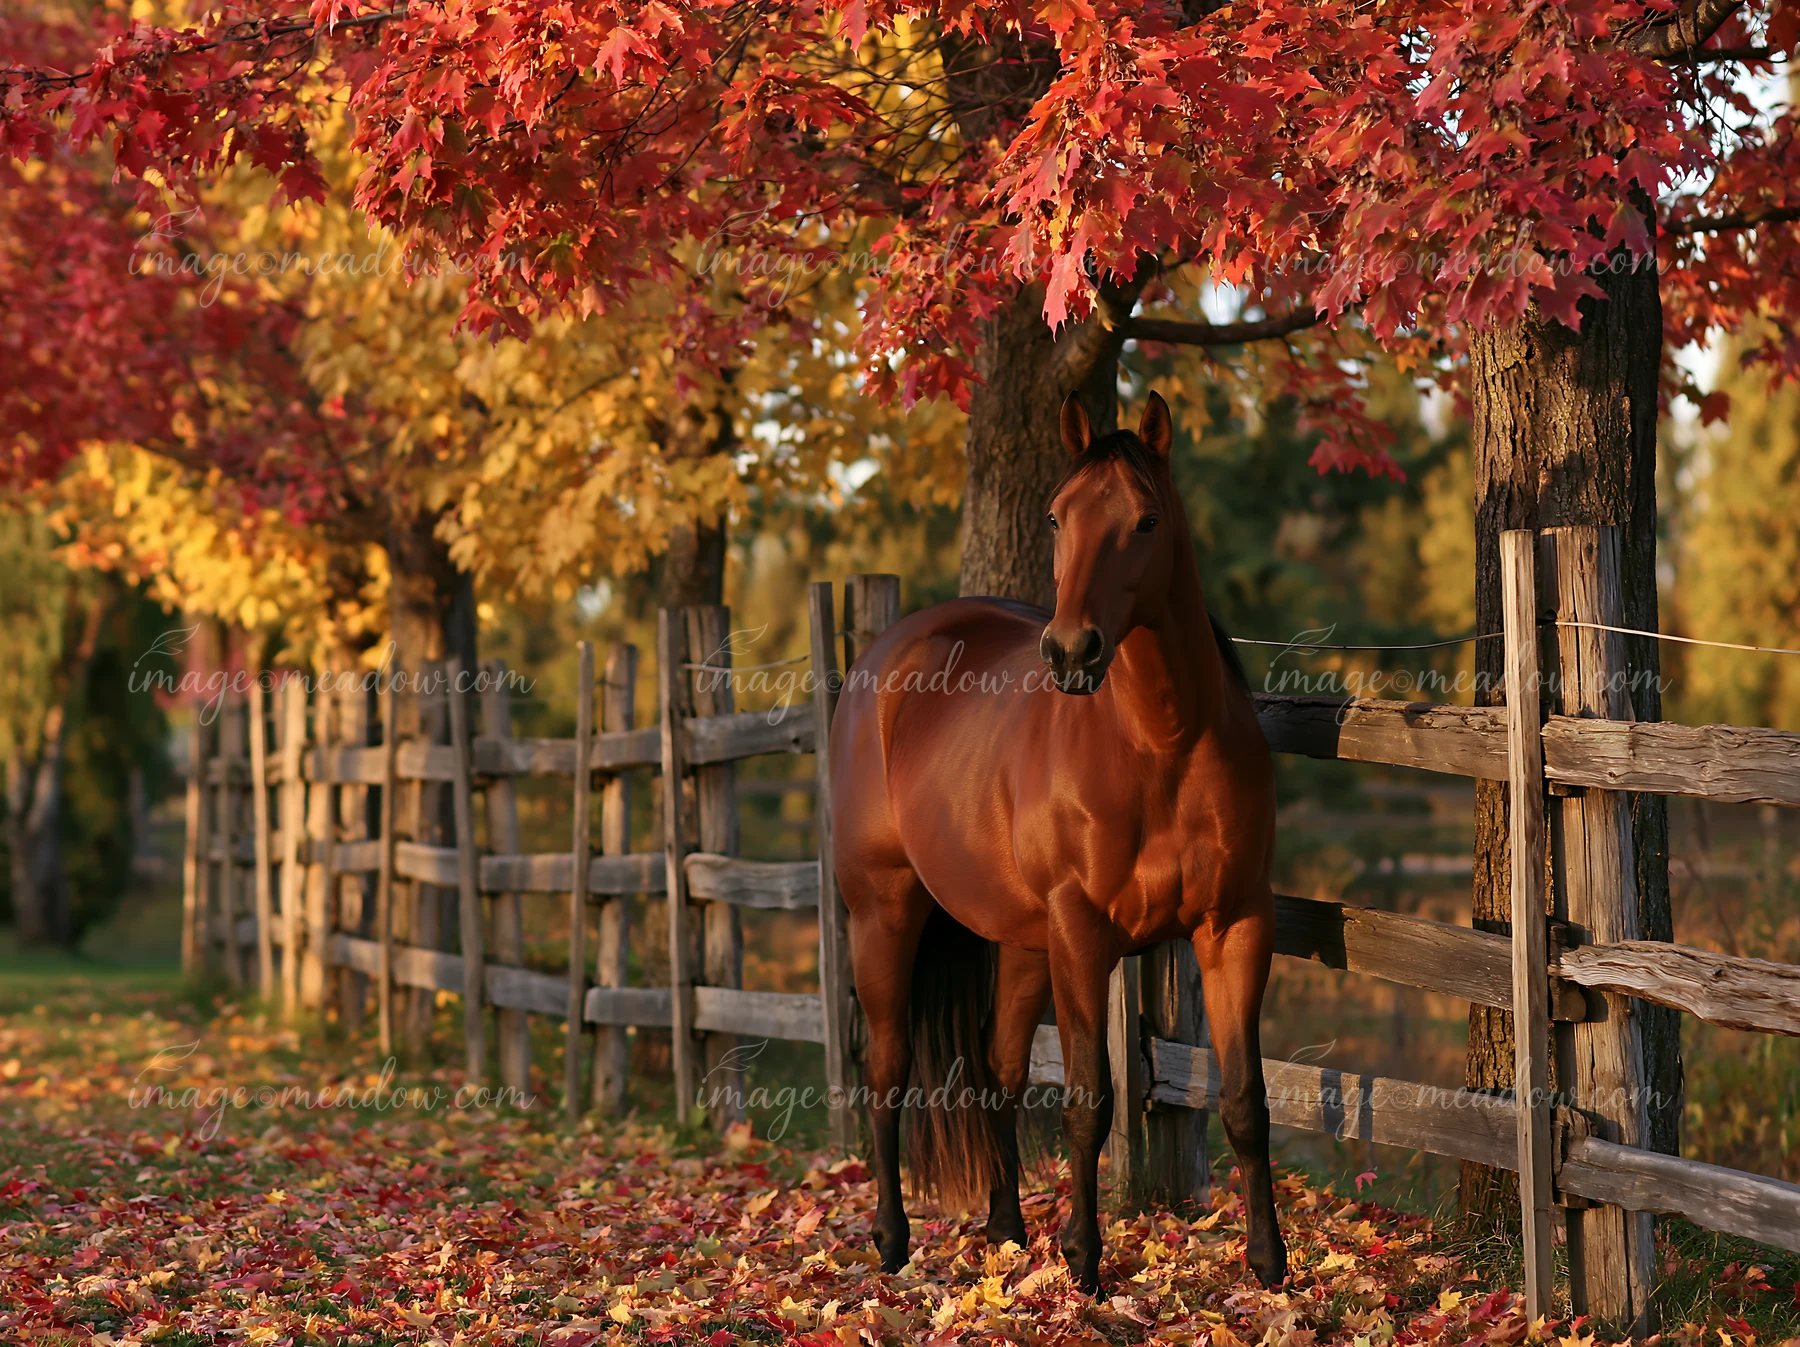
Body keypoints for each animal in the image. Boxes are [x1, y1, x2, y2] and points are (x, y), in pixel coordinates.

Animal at [827, 390, 1286, 1294]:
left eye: (1146, 520)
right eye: (1054, 516)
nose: (1071, 651)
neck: (1161, 742)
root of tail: (881, 663)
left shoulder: (1235, 925)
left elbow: (1245, 1097)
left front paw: (1268, 1260)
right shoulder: (1084, 933)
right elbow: (1088, 1101)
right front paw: (1083, 1259)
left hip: (1021, 940)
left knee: (999, 1067)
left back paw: (1006, 1228)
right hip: (884, 913)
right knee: (888, 1069)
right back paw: (891, 1239)